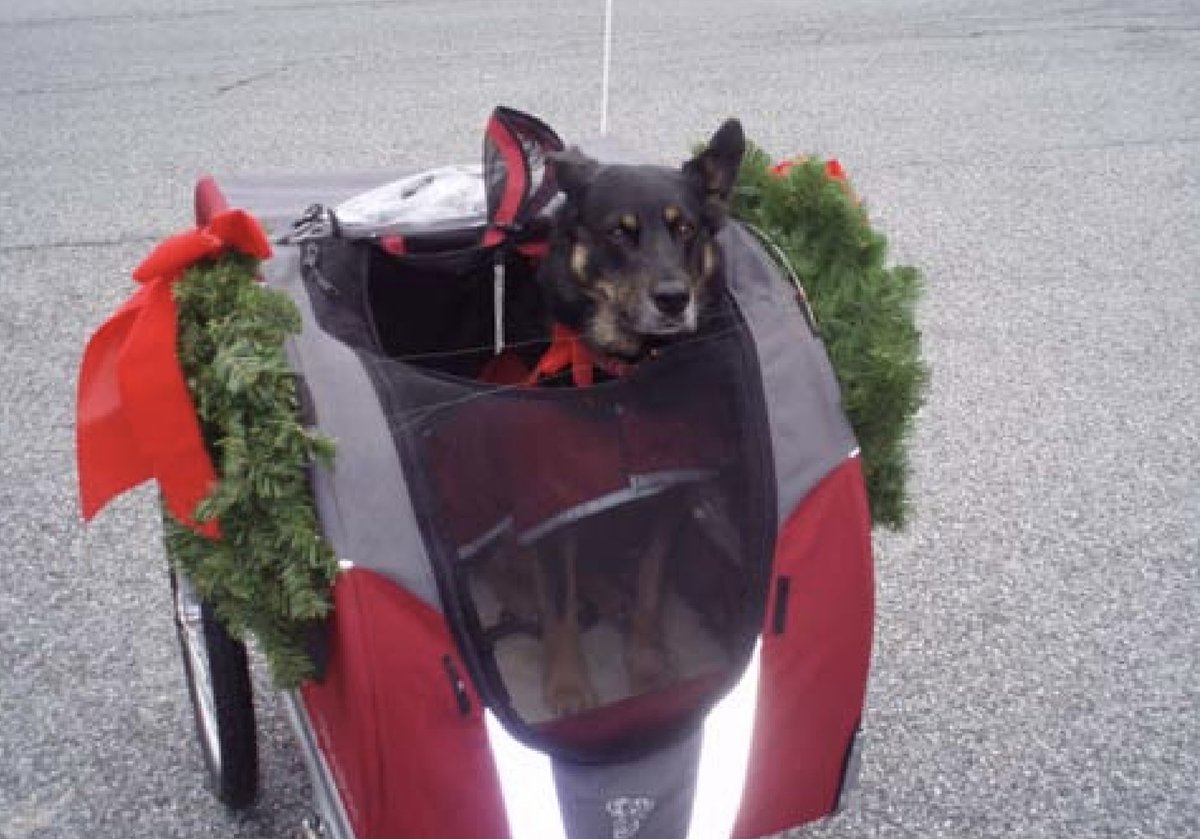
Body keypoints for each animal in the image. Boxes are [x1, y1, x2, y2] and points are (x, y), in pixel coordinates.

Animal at [530, 118, 744, 720]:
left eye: (685, 229)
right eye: (619, 234)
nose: (674, 299)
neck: (624, 374)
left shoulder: (667, 498)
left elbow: (651, 582)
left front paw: (648, 665)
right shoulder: (553, 507)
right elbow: (558, 602)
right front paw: (569, 689)